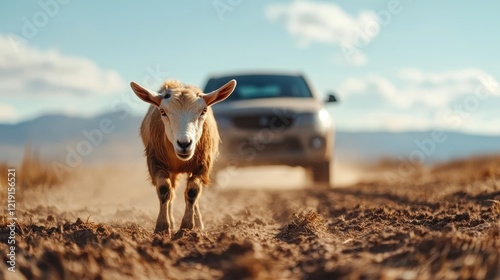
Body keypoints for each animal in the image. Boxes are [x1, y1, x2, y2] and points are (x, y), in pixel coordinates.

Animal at [131, 79, 236, 234]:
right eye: (162, 112)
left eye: (203, 111)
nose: (184, 144)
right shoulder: (155, 161)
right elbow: (164, 189)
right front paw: (162, 227)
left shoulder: (203, 165)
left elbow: (193, 191)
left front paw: (187, 226)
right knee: (171, 191)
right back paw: (171, 221)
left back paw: (198, 223)